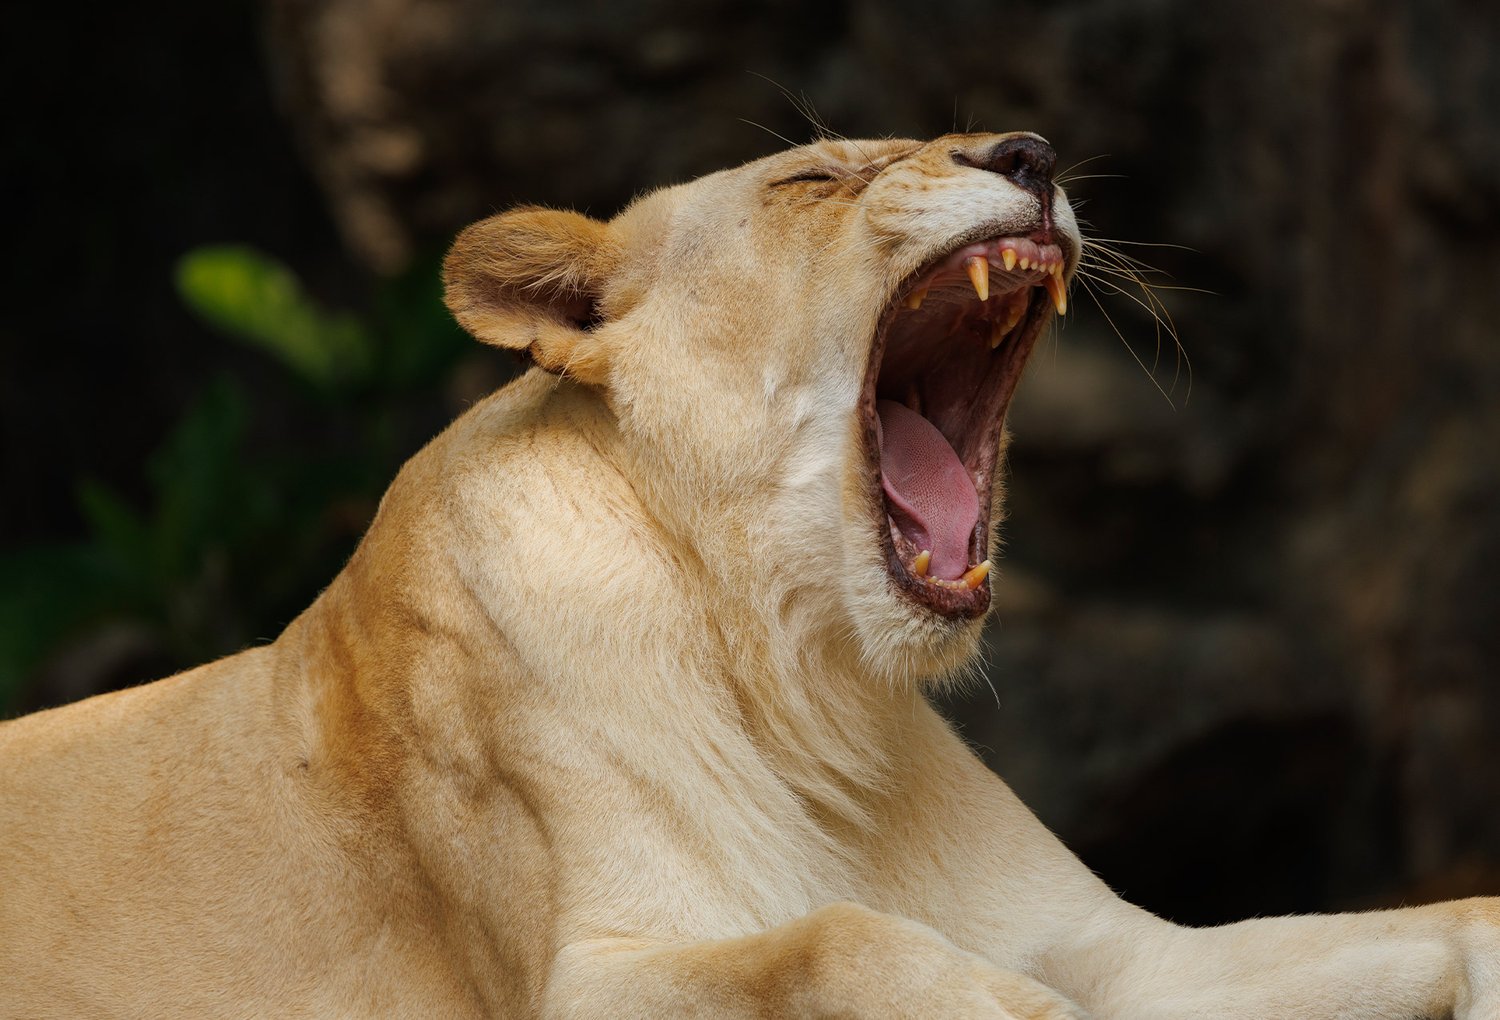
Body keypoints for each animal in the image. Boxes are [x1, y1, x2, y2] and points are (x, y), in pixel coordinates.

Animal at [2, 132, 1496, 1019]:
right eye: (814, 180)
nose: (1028, 149)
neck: (807, 683)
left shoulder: (1127, 946)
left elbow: (1440, 914)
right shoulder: (575, 980)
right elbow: (833, 941)